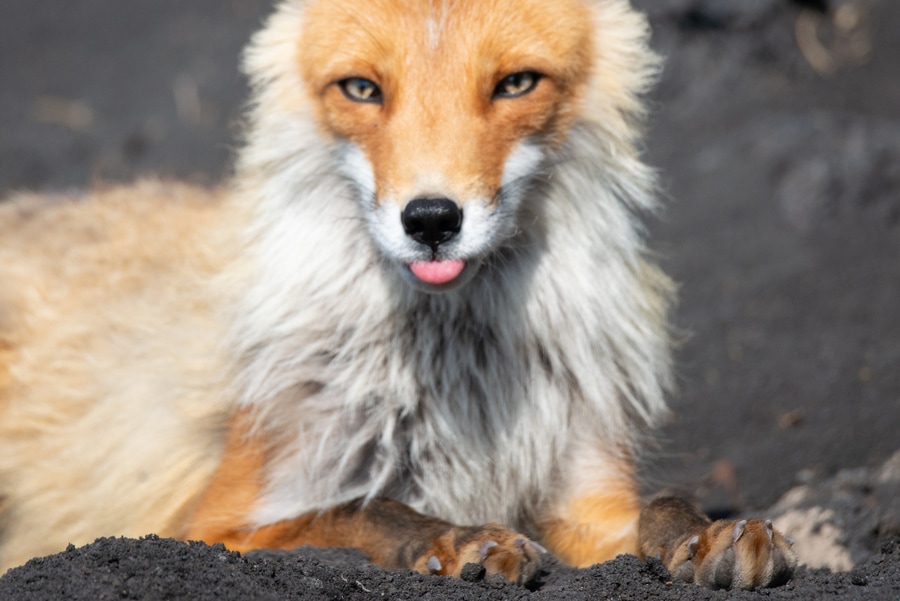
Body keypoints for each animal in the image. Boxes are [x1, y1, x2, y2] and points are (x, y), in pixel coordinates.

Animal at [0, 0, 800, 588]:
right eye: (361, 88)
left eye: (516, 83)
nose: (433, 219)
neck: (458, 373)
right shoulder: (214, 522)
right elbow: (362, 509)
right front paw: (457, 538)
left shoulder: (586, 492)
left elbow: (662, 503)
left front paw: (708, 535)